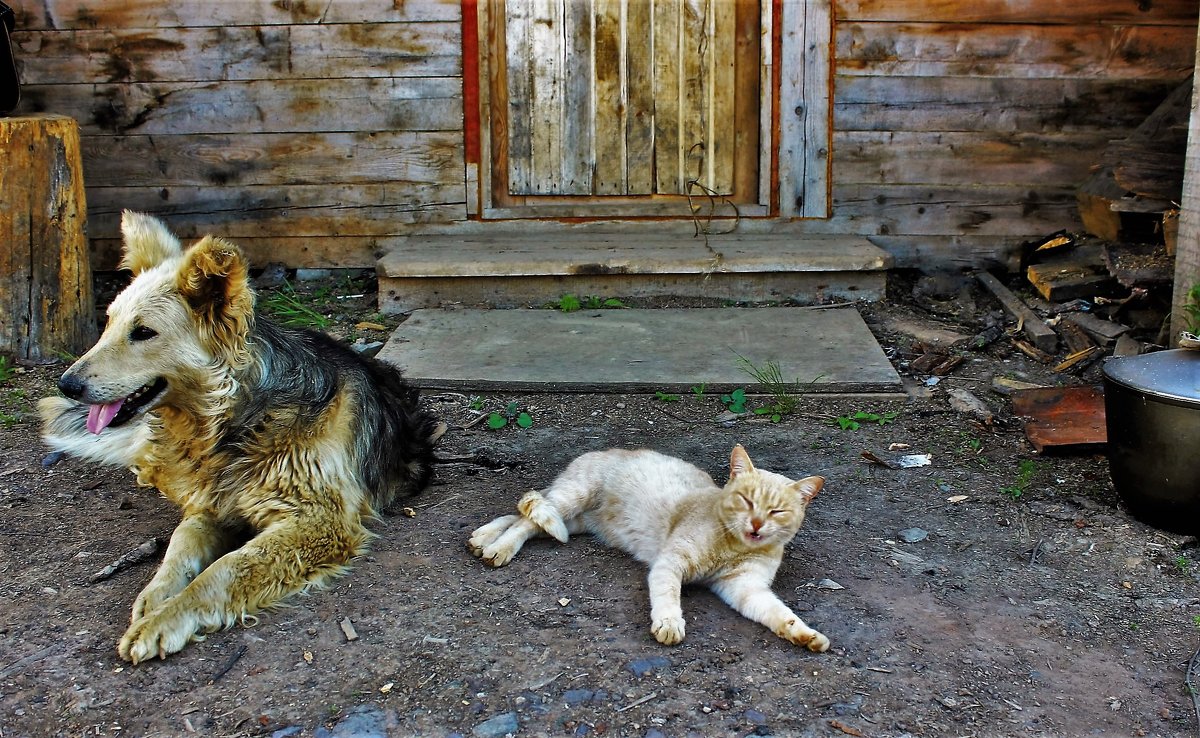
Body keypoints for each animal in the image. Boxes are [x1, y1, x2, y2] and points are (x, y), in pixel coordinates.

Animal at [37, 208, 444, 662]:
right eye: (108, 323)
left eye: (143, 332)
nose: (66, 385)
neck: (234, 421)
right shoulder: (209, 508)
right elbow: (178, 548)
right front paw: (155, 597)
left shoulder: (319, 519)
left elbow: (224, 570)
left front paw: (166, 619)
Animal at [463, 444, 830, 652]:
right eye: (746, 500)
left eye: (776, 511)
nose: (755, 524)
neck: (733, 546)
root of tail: (604, 450)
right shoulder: (670, 564)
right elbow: (667, 596)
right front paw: (669, 623)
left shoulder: (746, 588)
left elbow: (780, 614)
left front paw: (805, 635)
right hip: (570, 500)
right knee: (528, 517)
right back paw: (497, 547)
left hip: (571, 523)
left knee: (527, 517)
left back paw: (483, 538)